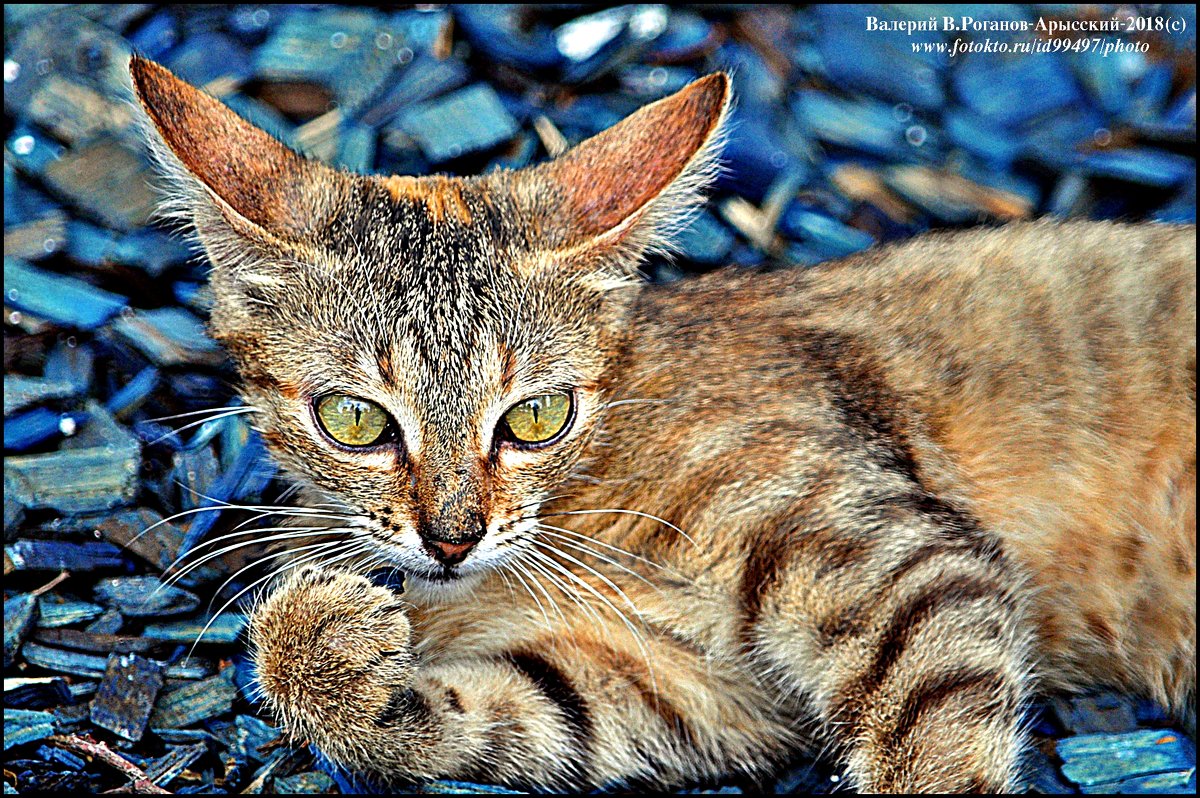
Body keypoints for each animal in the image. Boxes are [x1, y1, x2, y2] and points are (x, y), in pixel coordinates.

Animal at [126, 56, 1195, 792]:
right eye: (354, 419)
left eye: (537, 414)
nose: (453, 536)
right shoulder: (674, 693)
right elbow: (514, 716)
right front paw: (326, 649)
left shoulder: (903, 562)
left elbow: (931, 747)